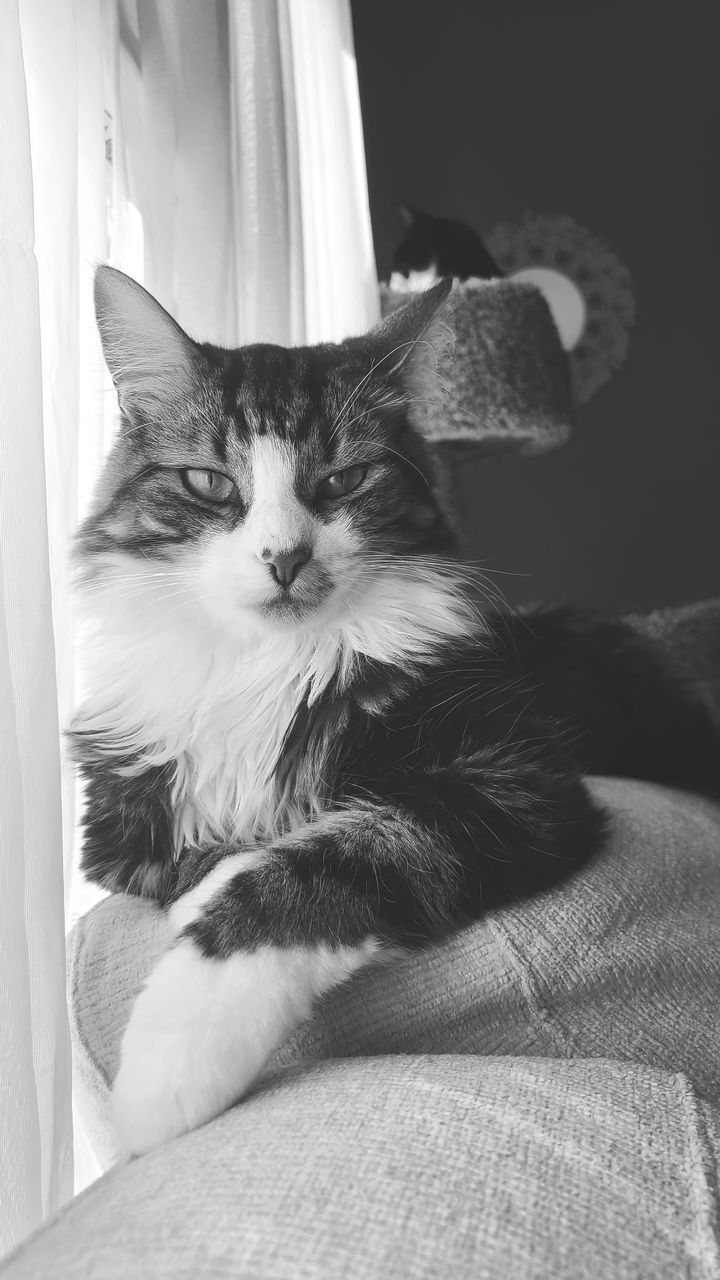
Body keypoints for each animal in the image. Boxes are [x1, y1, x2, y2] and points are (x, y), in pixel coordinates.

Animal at [73, 270, 717, 1162]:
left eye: (343, 482)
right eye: (209, 484)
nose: (284, 558)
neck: (271, 664)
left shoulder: (513, 775)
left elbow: (323, 859)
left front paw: (168, 1070)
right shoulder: (121, 827)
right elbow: (199, 857)